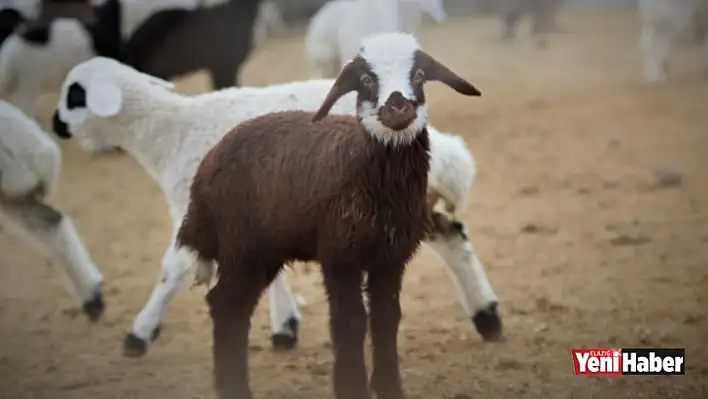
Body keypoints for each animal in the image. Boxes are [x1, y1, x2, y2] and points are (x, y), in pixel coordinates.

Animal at [52, 55, 500, 356]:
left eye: (74, 94)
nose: (56, 125)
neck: (168, 132)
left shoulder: (197, 210)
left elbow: (173, 269)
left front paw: (139, 334)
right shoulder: (259, 210)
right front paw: (285, 328)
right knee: (452, 237)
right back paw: (488, 317)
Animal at [176, 32, 482, 399]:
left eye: (419, 75)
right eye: (366, 80)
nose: (398, 107)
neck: (365, 170)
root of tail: (206, 170)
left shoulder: (390, 257)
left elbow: (386, 318)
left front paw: (389, 387)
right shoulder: (339, 255)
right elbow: (349, 321)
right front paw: (351, 387)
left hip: (263, 250)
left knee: (228, 305)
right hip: (242, 245)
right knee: (227, 305)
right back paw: (234, 387)